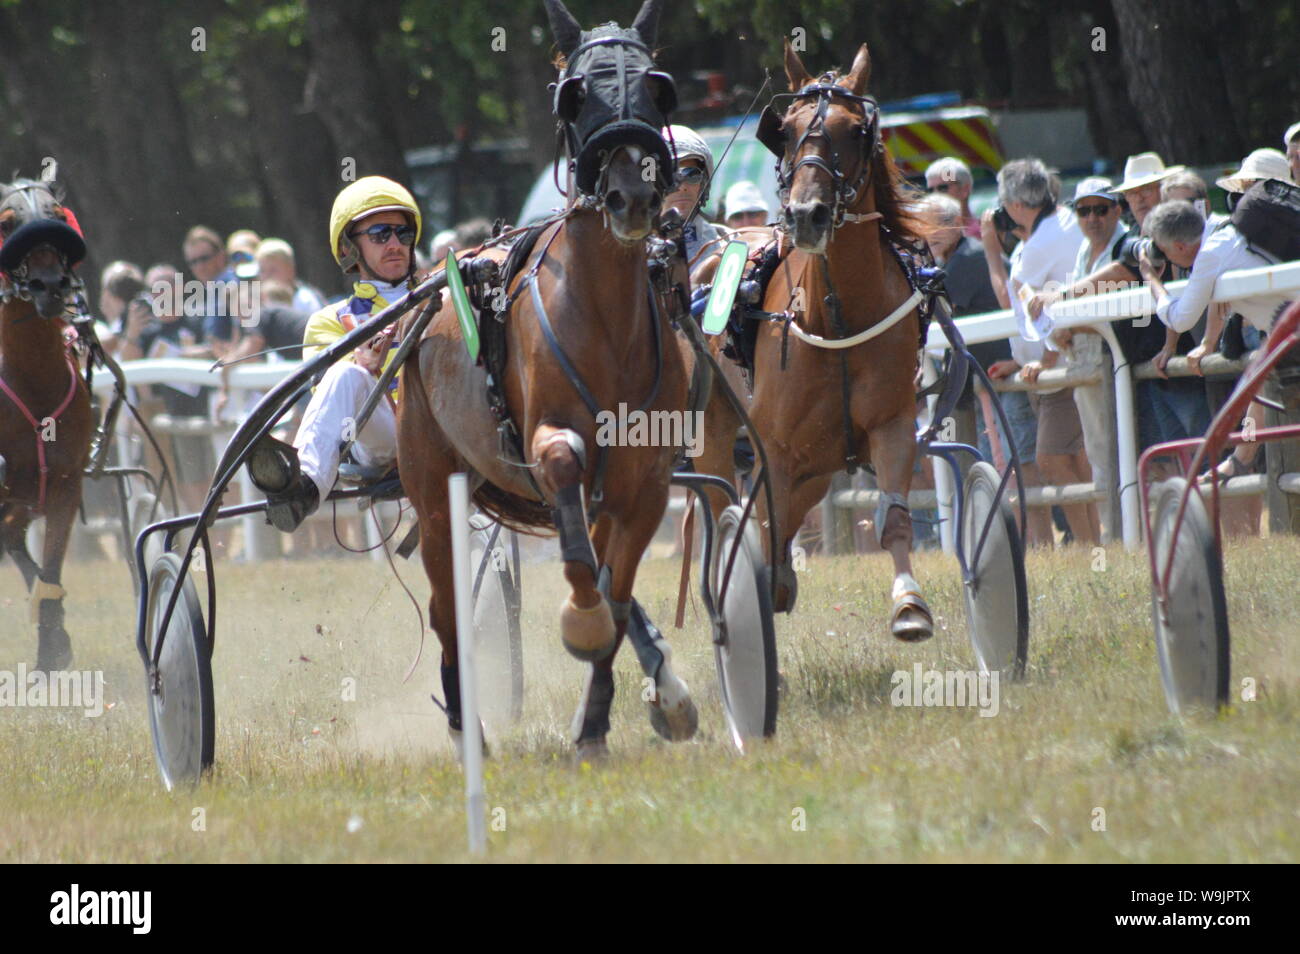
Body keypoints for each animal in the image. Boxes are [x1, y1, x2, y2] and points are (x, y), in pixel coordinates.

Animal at [397, 0, 696, 759]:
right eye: (576, 94)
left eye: (657, 89)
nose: (630, 195)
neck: (607, 319)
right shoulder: (548, 445)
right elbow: (578, 543)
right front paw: (582, 624)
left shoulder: (645, 484)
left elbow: (617, 589)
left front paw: (597, 719)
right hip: (432, 484)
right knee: (445, 607)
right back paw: (465, 727)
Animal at [691, 41, 935, 641]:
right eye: (788, 129)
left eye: (856, 130)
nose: (806, 215)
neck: (837, 317)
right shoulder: (775, 452)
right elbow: (767, 541)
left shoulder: (893, 425)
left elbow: (895, 521)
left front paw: (910, 606)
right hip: (715, 436)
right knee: (724, 512)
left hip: (818, 465)